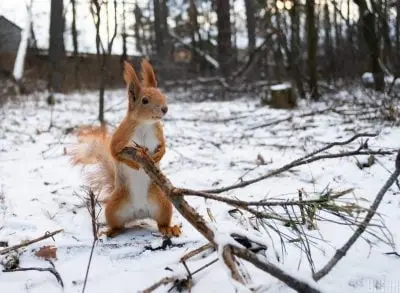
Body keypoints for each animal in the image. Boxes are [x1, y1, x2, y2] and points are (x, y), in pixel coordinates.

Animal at [69, 58, 181, 237]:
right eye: (144, 100)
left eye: (162, 95)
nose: (165, 109)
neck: (145, 125)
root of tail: (140, 213)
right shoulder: (120, 137)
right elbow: (114, 152)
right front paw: (134, 164)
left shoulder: (158, 133)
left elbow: (164, 147)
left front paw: (158, 156)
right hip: (113, 207)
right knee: (118, 225)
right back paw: (111, 231)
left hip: (163, 203)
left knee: (161, 222)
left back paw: (168, 228)